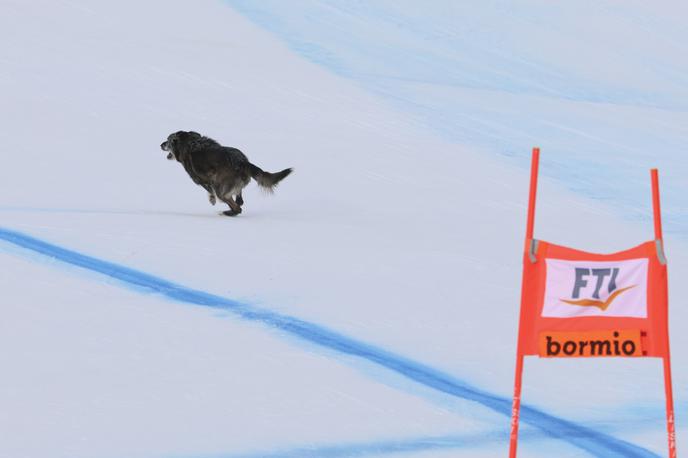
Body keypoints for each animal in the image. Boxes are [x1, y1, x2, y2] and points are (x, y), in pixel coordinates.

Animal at [162, 131, 292, 216]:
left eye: (167, 140)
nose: (161, 144)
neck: (189, 143)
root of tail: (243, 162)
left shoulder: (200, 179)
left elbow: (209, 190)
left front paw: (212, 200)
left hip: (221, 189)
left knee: (237, 207)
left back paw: (226, 213)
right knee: (239, 201)